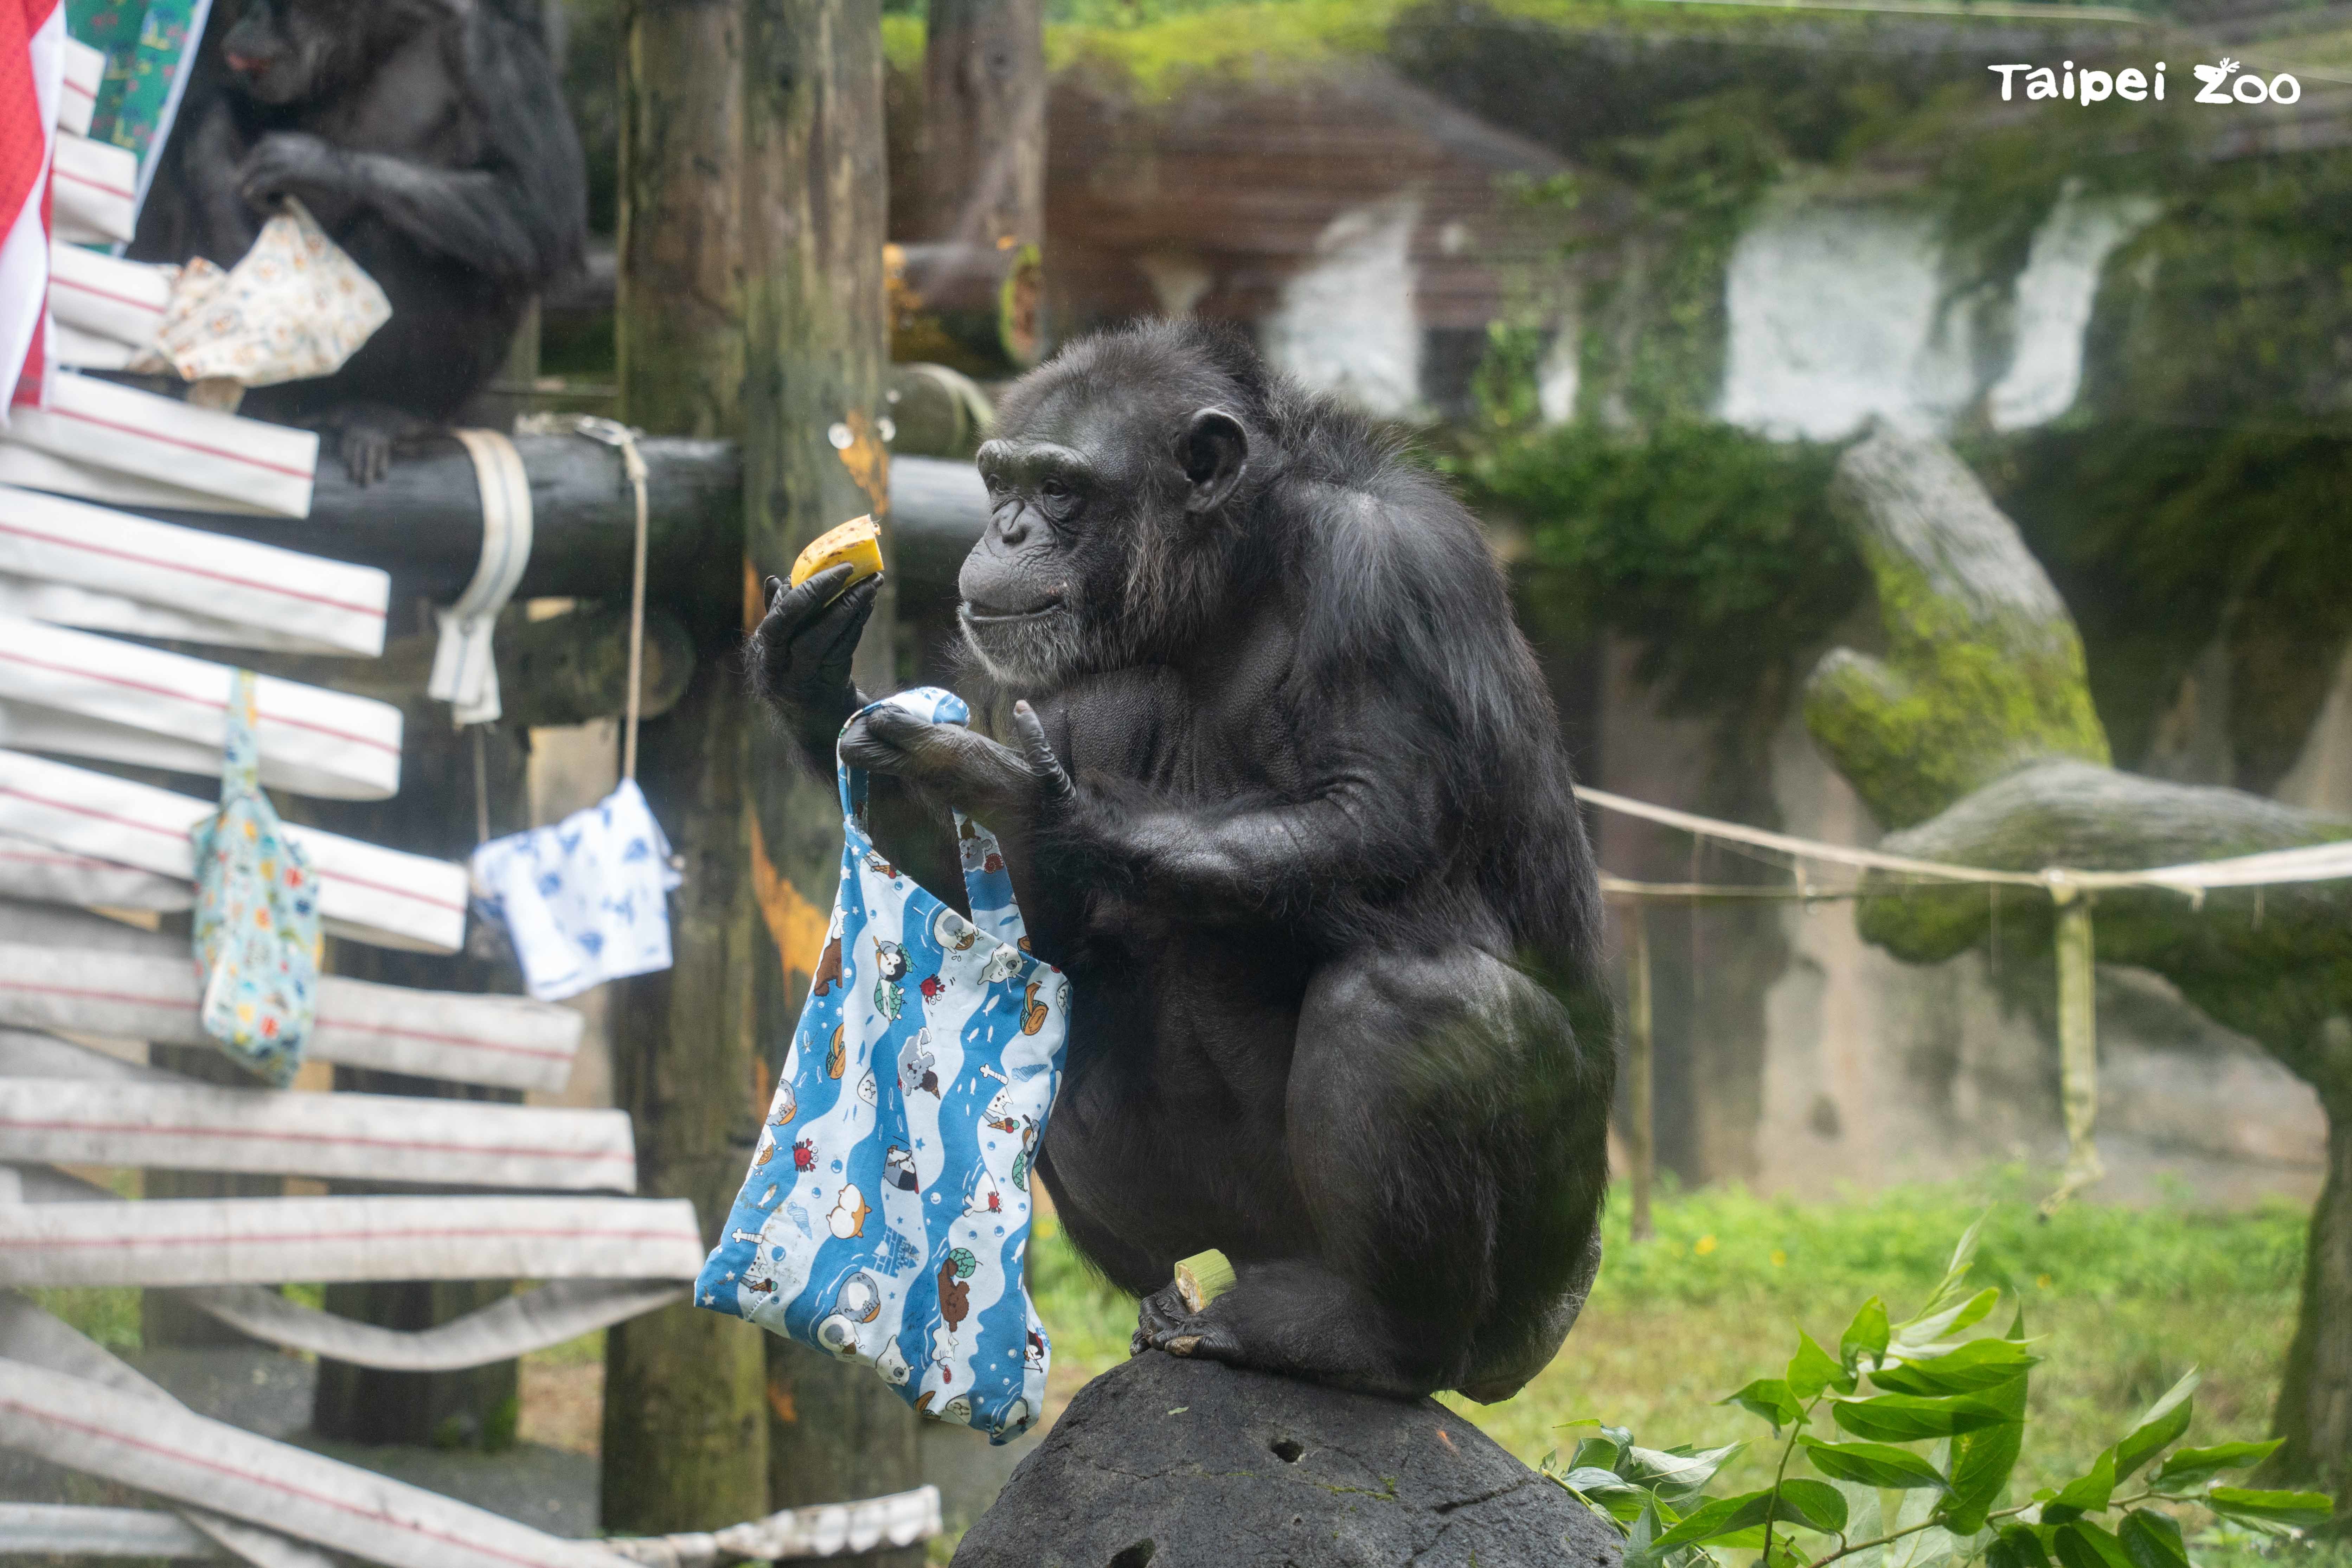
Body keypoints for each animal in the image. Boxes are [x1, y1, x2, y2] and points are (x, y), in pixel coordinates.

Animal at [134, 0, 588, 482]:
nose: (248, 20)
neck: (373, 43)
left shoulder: (492, 43)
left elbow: (536, 207)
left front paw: (309, 163)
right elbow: (219, 118)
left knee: (425, 239)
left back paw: (386, 415)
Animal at [752, 320, 1618, 1401]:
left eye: (1061, 489)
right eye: (999, 482)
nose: (1008, 533)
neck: (1226, 589)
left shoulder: (1391, 570)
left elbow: (1374, 815)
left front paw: (1025, 794)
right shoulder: (1045, 674)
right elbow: (1033, 915)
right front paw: (816, 685)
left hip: (1532, 1268)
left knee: (1415, 1003)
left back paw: (1366, 1340)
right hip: (1230, 1224)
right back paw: (1166, 1303)